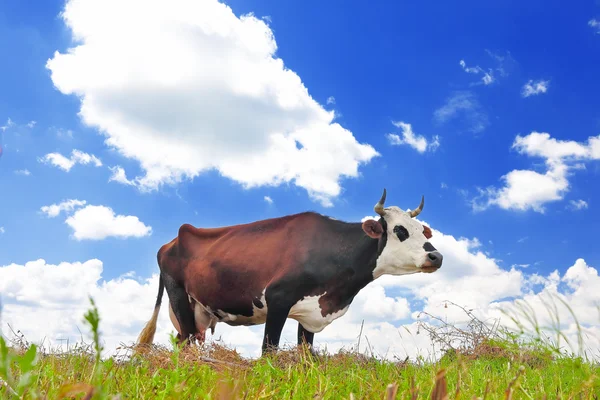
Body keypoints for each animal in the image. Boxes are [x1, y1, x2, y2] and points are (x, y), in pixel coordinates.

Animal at [138, 189, 442, 354]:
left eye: (422, 230)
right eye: (400, 231)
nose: (436, 256)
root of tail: (171, 241)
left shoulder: (310, 314)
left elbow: (306, 353)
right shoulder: (278, 298)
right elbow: (268, 349)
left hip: (197, 309)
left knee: (183, 339)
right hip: (178, 296)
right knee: (186, 342)